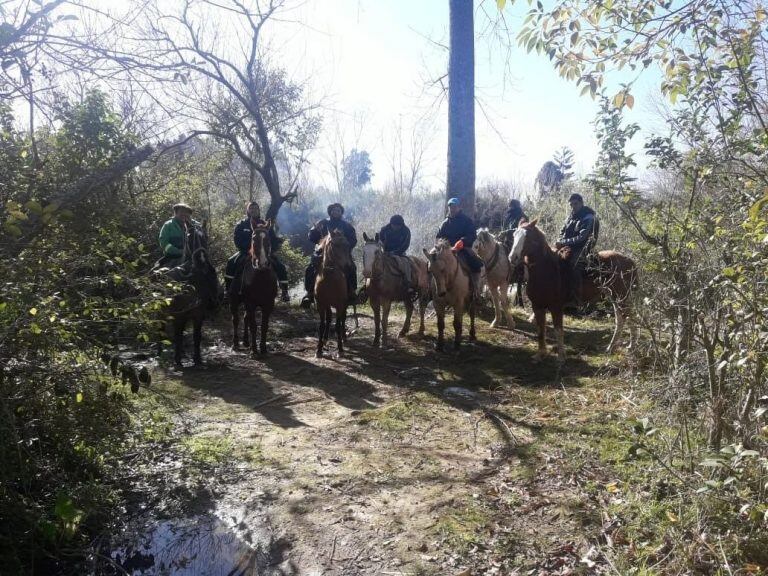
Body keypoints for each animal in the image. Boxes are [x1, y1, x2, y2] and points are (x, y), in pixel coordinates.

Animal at [230, 223, 280, 354]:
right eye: (254, 239)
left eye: (268, 240)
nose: (262, 264)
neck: (260, 277)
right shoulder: (250, 303)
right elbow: (253, 326)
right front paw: (254, 350)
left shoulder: (268, 304)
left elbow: (264, 326)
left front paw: (263, 348)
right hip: (234, 300)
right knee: (236, 320)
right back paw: (235, 343)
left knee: (245, 318)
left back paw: (246, 341)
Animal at [314, 228, 352, 356]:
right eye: (335, 245)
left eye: (348, 245)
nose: (348, 267)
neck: (330, 279)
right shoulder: (321, 304)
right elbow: (321, 325)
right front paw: (319, 349)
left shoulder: (340, 304)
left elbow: (338, 325)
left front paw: (340, 349)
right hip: (328, 304)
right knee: (329, 317)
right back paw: (325, 339)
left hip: (343, 304)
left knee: (343, 319)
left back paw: (344, 337)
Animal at [508, 218, 640, 362]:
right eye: (514, 235)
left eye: (527, 237)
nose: (512, 258)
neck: (546, 269)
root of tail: (630, 262)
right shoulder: (537, 306)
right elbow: (540, 330)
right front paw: (540, 354)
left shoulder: (556, 307)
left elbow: (558, 330)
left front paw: (561, 357)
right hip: (614, 297)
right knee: (621, 319)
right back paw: (611, 347)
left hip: (622, 298)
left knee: (630, 318)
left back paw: (632, 346)